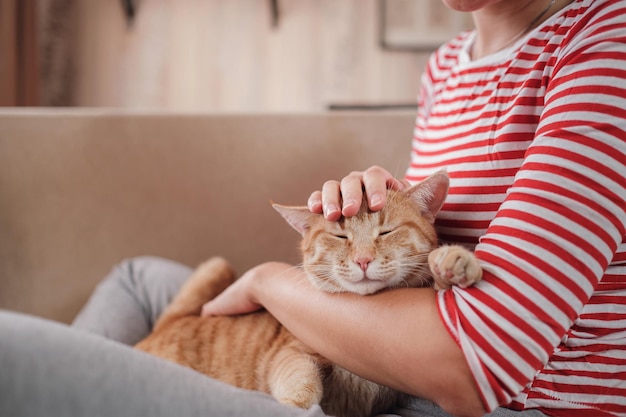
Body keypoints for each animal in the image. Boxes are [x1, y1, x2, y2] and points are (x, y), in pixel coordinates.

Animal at [135, 170, 478, 416]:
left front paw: (455, 261)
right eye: (340, 236)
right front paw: (296, 404)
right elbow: (301, 380)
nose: (363, 260)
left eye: (386, 231)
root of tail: (167, 325)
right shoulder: (291, 353)